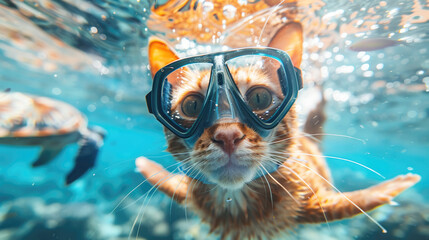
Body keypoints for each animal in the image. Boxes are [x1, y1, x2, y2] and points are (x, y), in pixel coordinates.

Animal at [136, 21, 418, 239]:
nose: (227, 135)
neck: (237, 203)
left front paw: (398, 184)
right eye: (192, 105)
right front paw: (145, 165)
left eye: (260, 98)